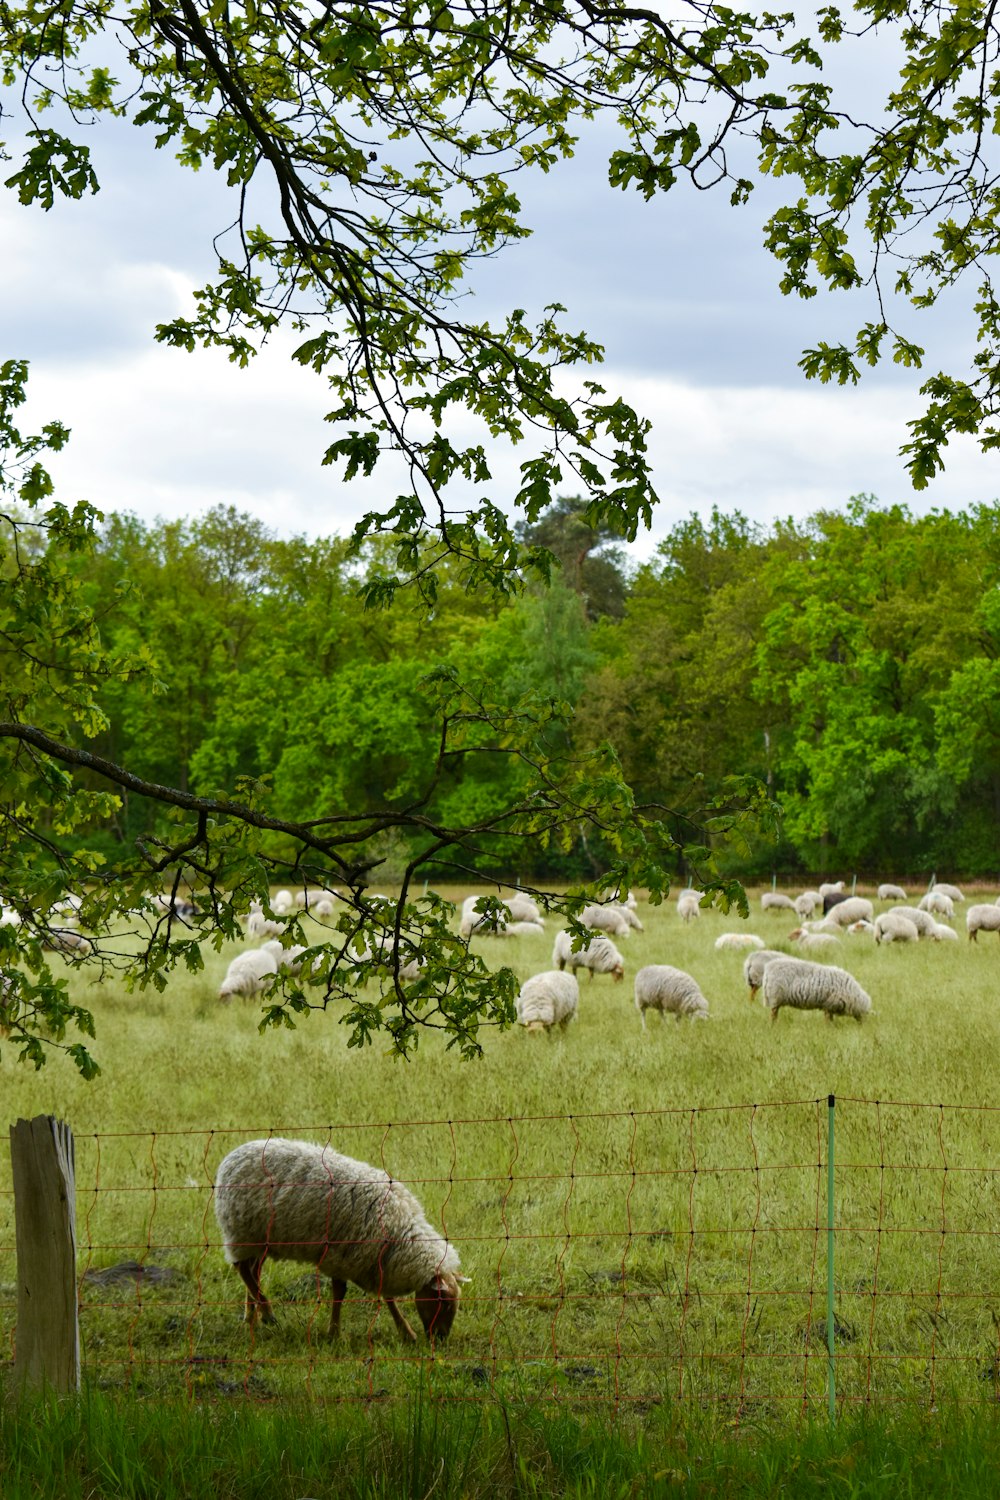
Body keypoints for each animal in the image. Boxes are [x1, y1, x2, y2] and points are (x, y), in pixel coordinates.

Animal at [215, 1140, 464, 1344]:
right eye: (444, 1302)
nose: (441, 1339)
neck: (398, 1227)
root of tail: (231, 1157)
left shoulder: (374, 1260)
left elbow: (387, 1297)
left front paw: (405, 1332)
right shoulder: (342, 1256)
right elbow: (340, 1293)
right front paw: (334, 1333)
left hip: (260, 1240)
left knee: (252, 1271)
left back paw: (252, 1317)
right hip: (242, 1232)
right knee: (242, 1269)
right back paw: (267, 1314)